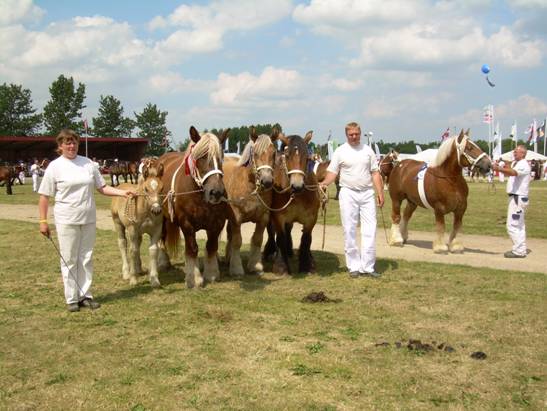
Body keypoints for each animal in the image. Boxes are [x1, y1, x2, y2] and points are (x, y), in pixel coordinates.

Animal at [109, 159, 165, 288]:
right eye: (146, 189)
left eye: (162, 189)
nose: (156, 210)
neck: (146, 212)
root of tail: (121, 185)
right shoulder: (132, 230)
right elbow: (132, 251)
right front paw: (133, 279)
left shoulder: (156, 229)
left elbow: (153, 250)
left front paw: (154, 279)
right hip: (118, 223)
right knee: (123, 243)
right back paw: (126, 273)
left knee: (138, 243)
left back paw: (139, 269)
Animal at [158, 127, 229, 288]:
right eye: (201, 157)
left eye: (221, 157)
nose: (216, 192)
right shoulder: (187, 224)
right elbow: (192, 248)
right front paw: (194, 278)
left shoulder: (217, 223)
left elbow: (211, 246)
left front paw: (211, 274)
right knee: (162, 237)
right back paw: (163, 262)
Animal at [224, 127, 280, 276]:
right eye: (255, 153)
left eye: (274, 153)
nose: (267, 181)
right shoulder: (236, 217)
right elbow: (237, 241)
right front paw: (236, 268)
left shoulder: (263, 218)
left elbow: (257, 240)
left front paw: (255, 266)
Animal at [264, 131, 322, 274]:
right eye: (287, 155)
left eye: (308, 157)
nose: (297, 185)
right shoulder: (278, 217)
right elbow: (280, 237)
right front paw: (281, 266)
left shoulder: (311, 218)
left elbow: (306, 239)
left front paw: (307, 265)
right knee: (271, 232)